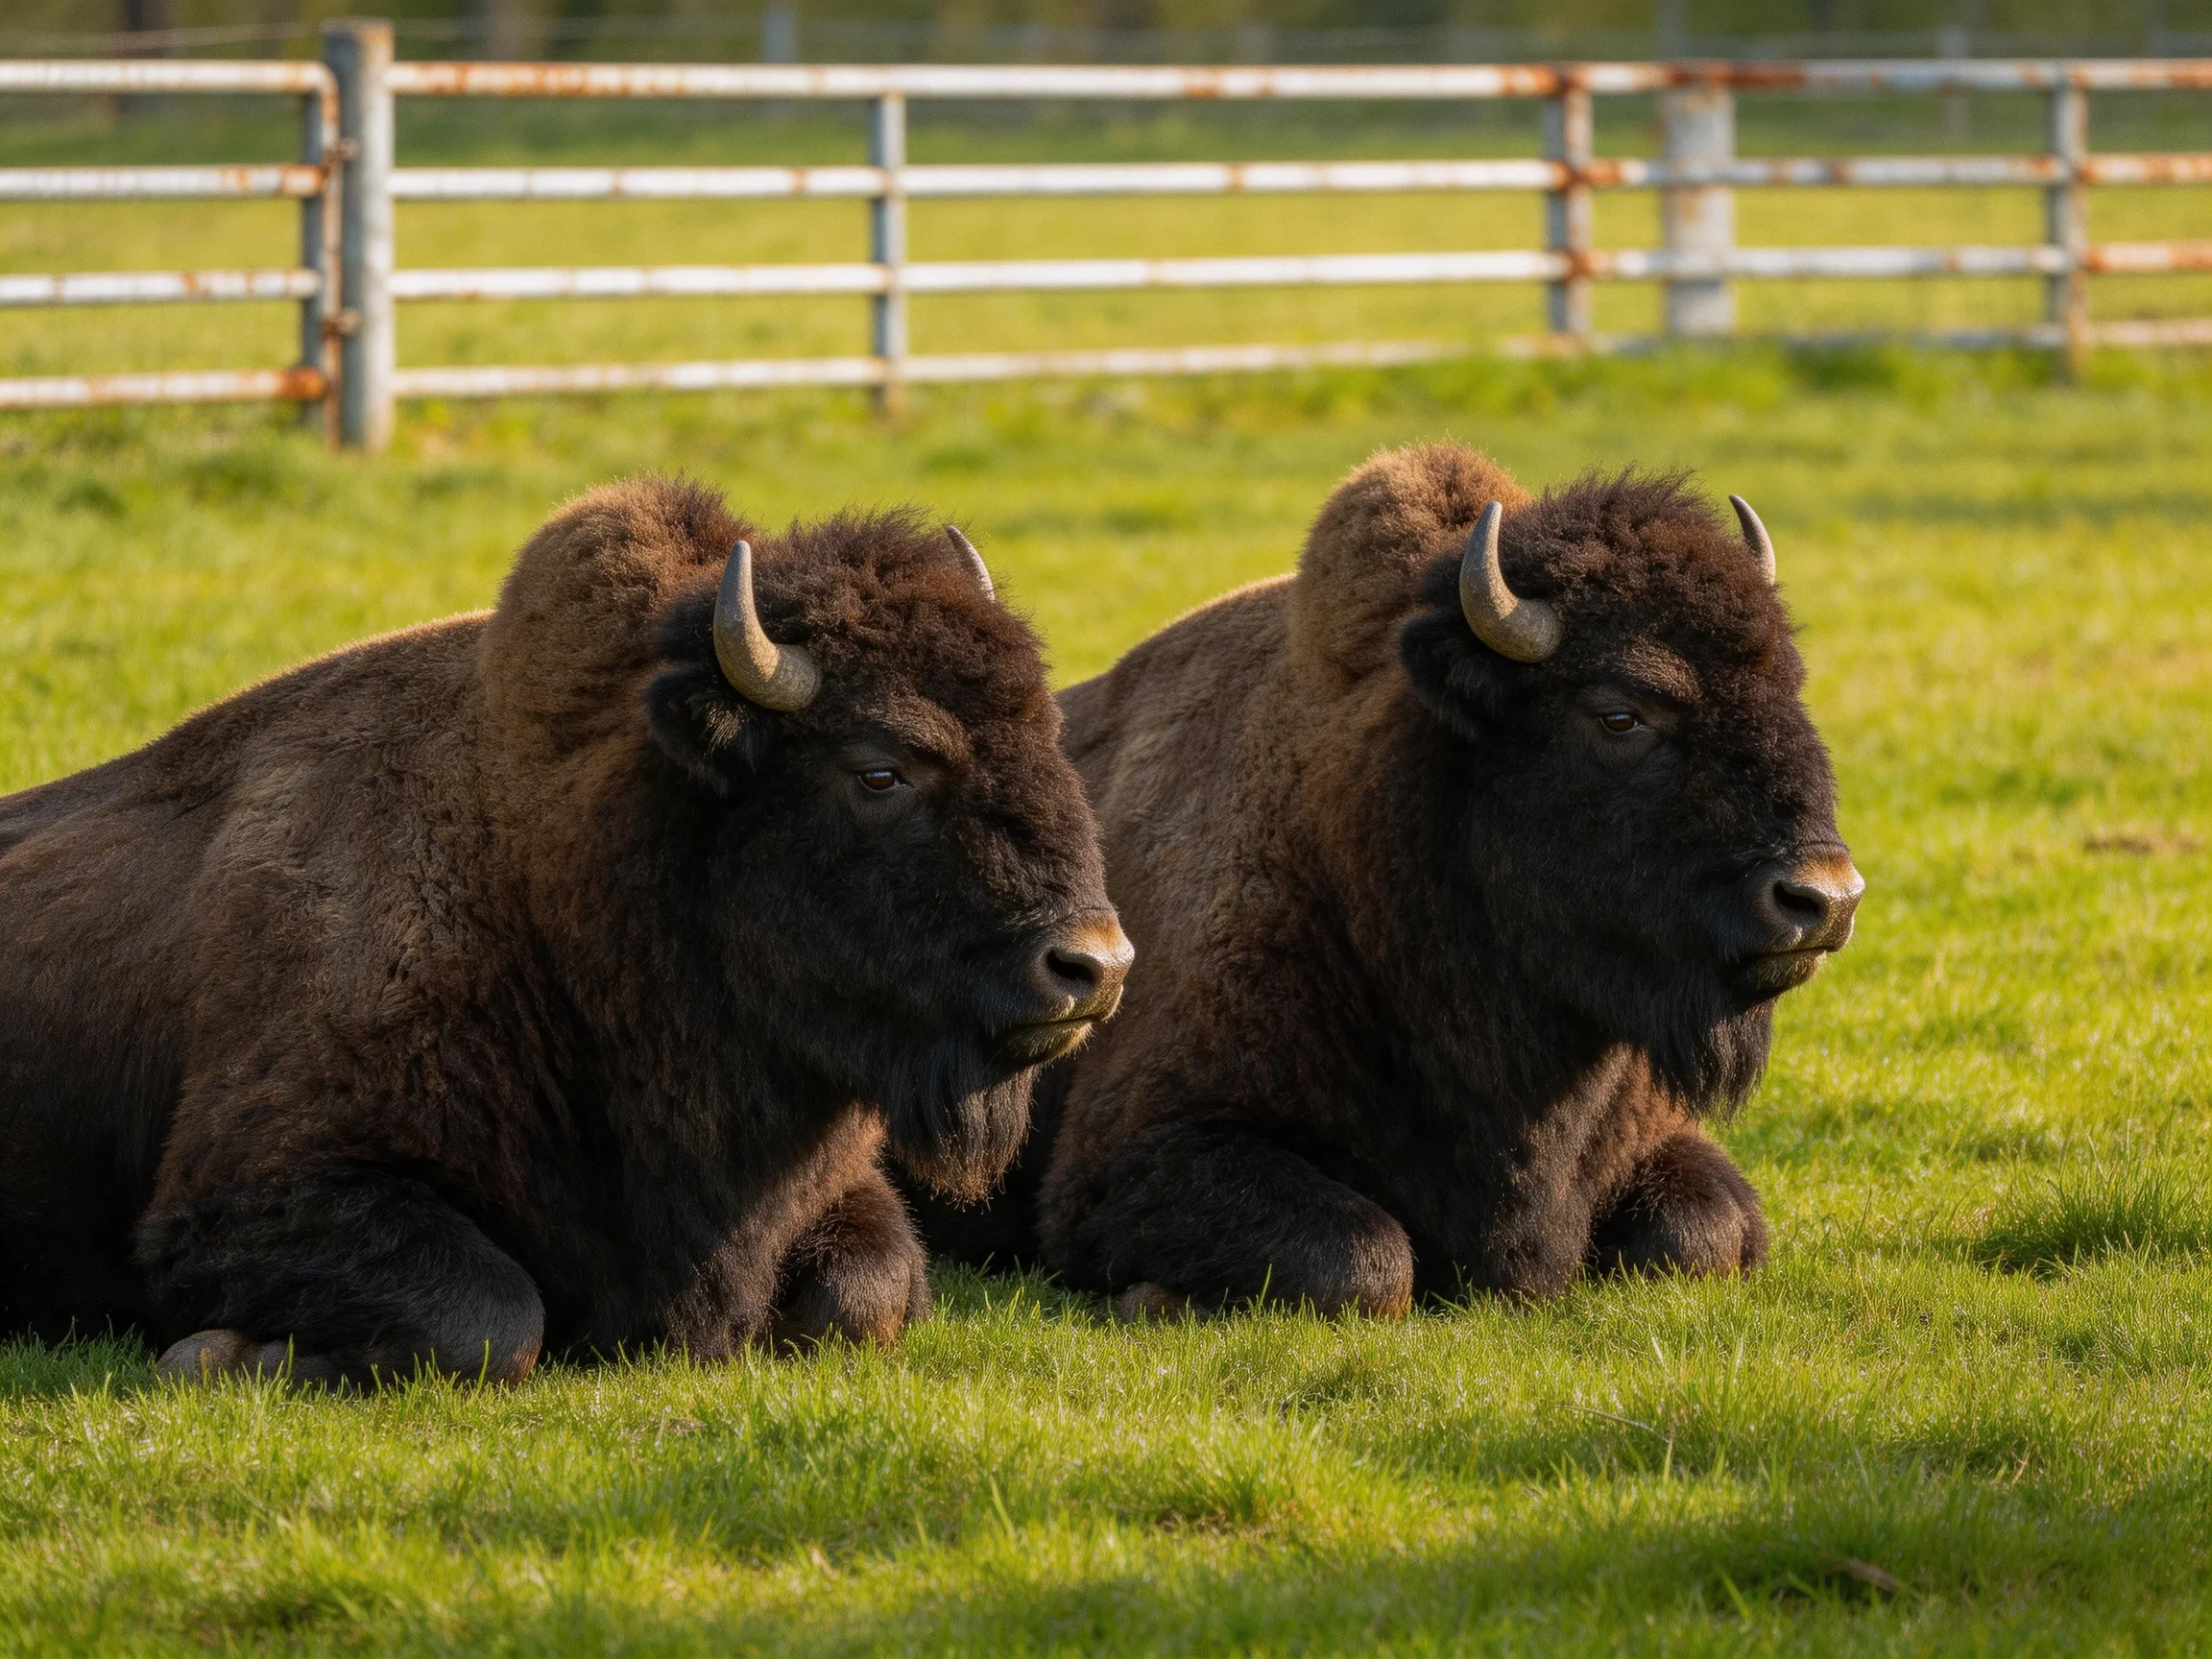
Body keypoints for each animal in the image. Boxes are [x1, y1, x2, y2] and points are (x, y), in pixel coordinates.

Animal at [0, 477, 1128, 1383]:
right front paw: (216, 1356)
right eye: (882, 768)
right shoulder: (244, 1196)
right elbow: (488, 1318)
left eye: (1049, 734)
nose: (1094, 965)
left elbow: (865, 1298)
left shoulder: (831, 1189)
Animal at [915, 444, 1859, 1315]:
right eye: (1621, 712)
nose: (1823, 898)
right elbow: (1360, 1257)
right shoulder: (1136, 1152)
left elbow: (1704, 1234)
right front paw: (1152, 1299)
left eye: (1791, 683)